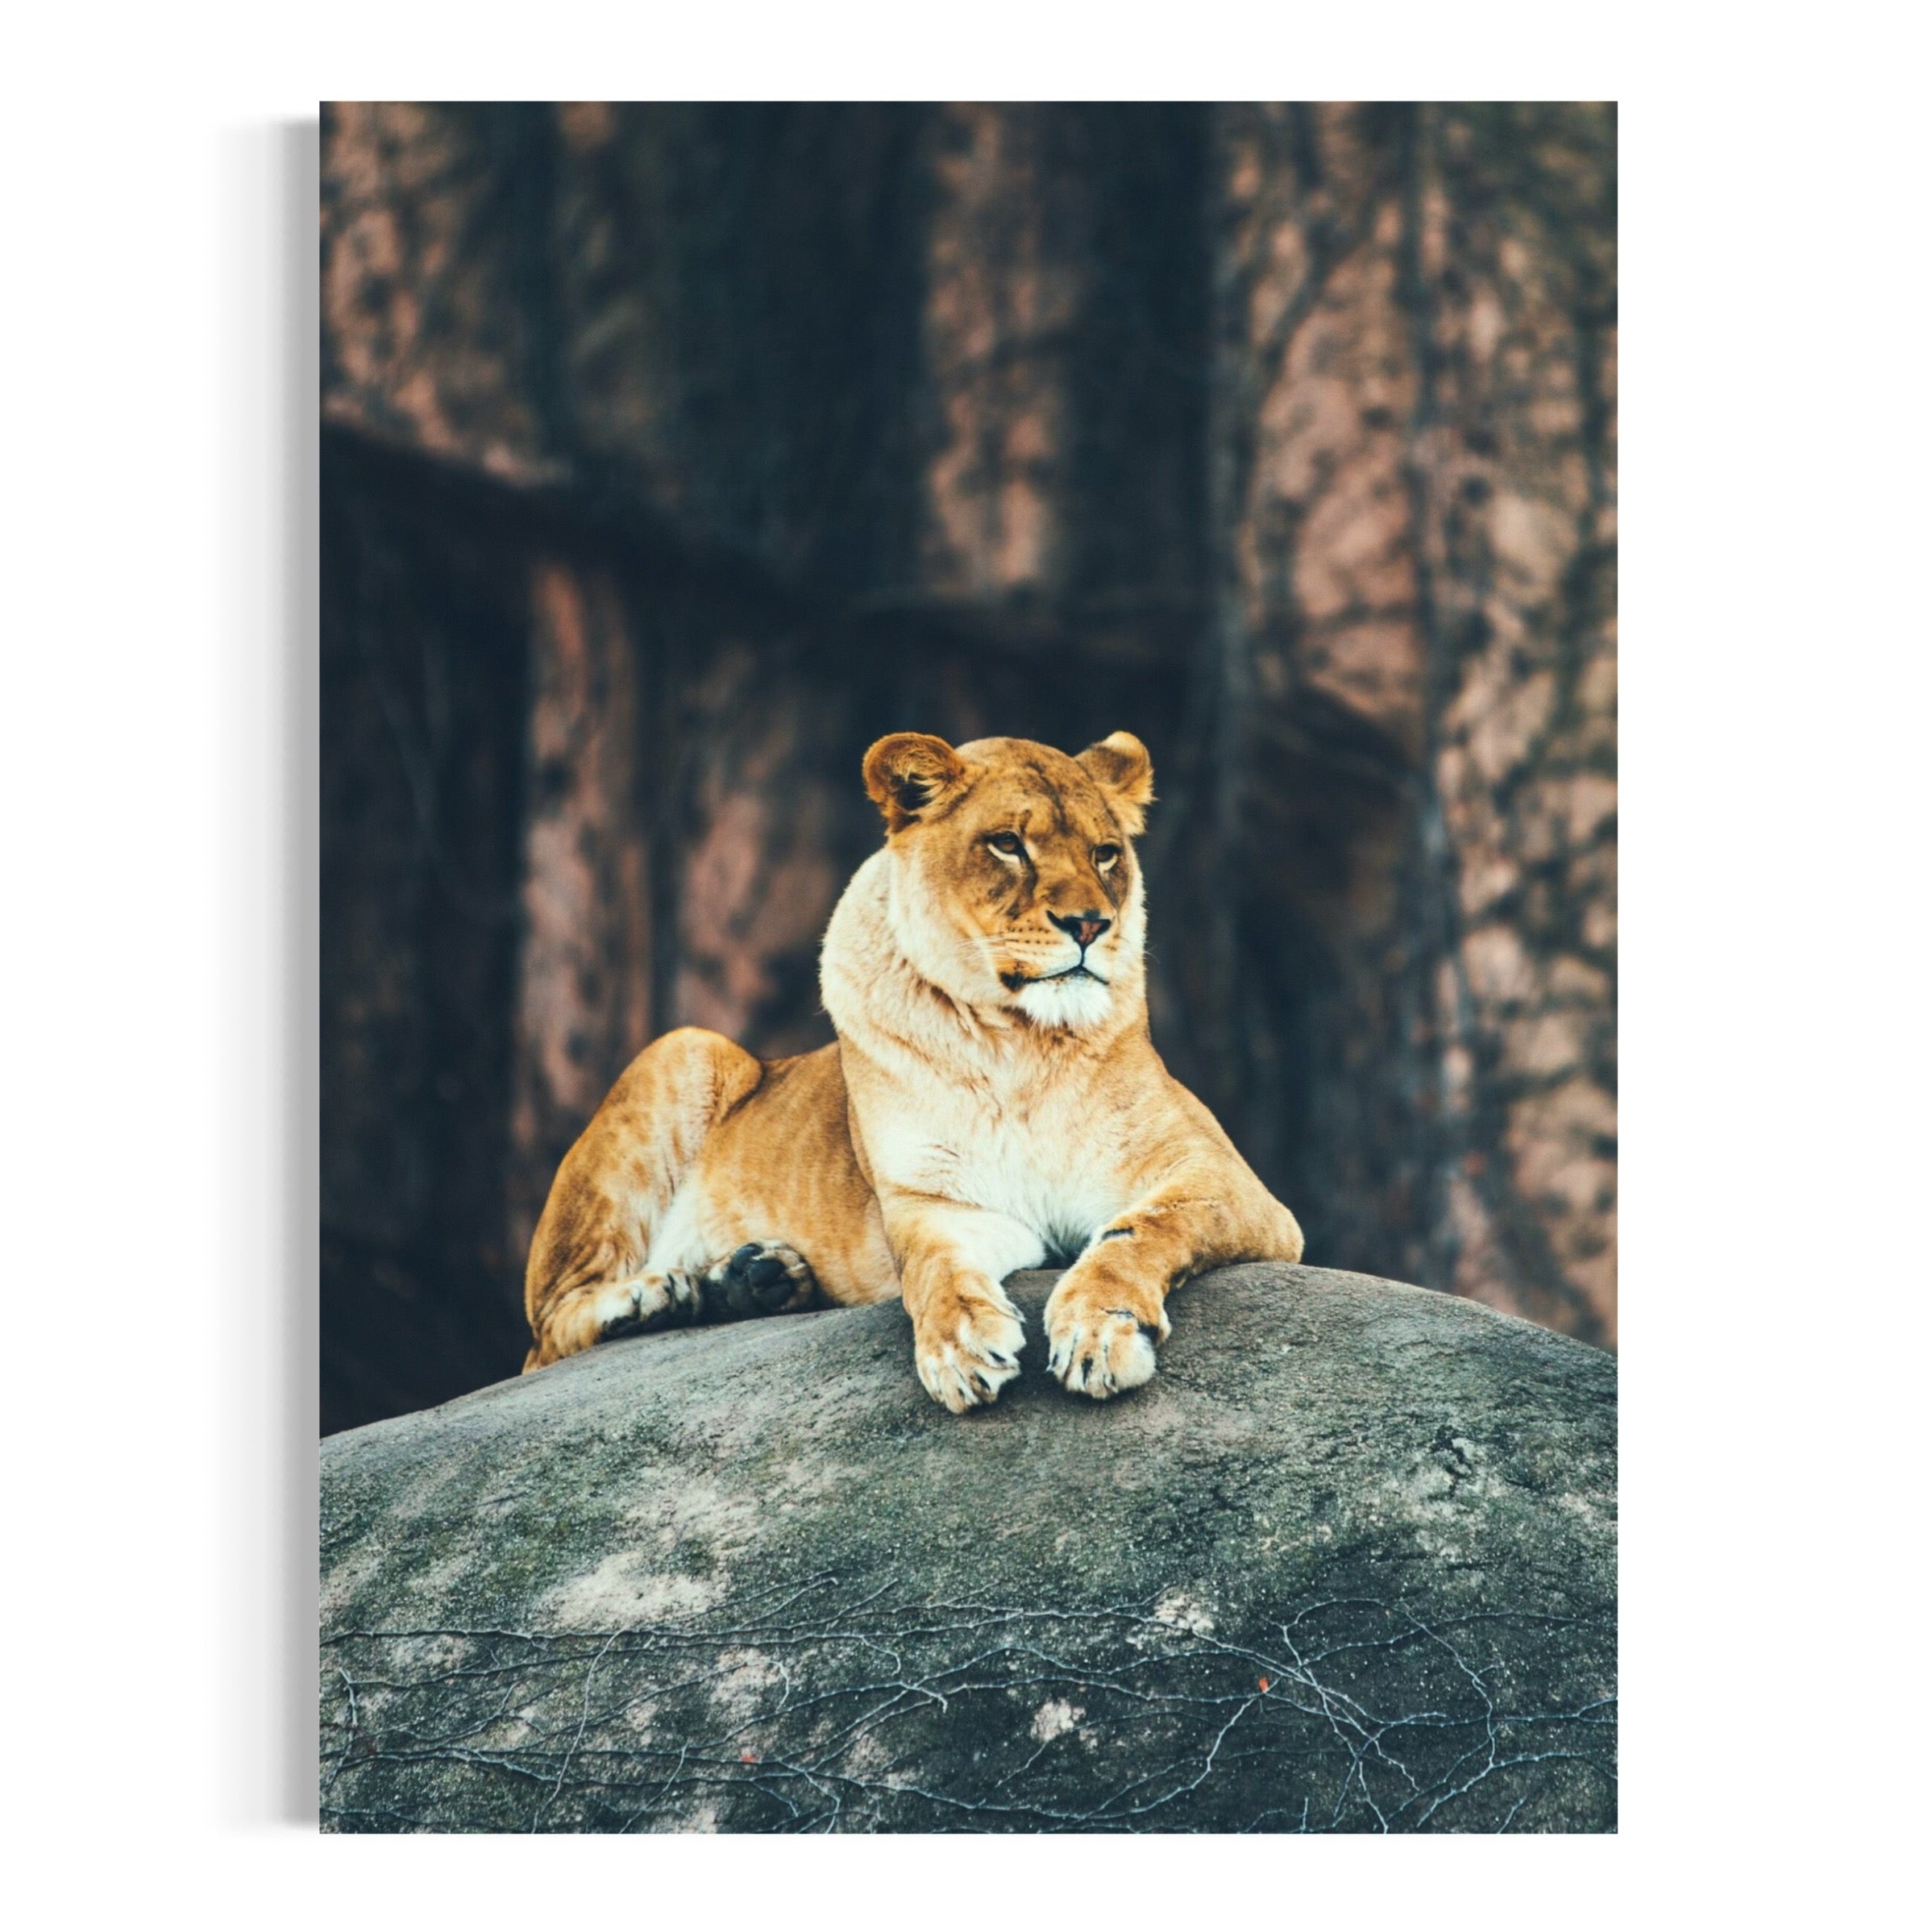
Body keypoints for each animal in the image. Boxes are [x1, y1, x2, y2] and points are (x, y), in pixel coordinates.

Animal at [522, 729, 1305, 1410]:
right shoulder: (933, 1199)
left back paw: (749, 1280)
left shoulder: (1226, 1183)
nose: (1090, 924)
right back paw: (657, 1293)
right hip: (683, 1047)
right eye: (1007, 844)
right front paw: (960, 1348)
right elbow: (933, 1269)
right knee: (548, 1332)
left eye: (1107, 854)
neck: (1020, 1045)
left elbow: (1140, 1232)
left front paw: (1098, 1330)